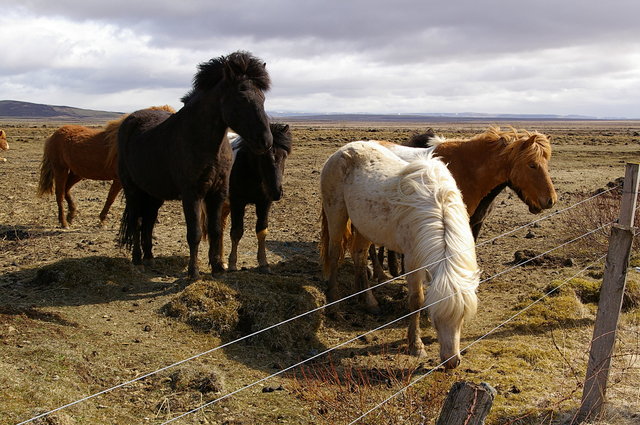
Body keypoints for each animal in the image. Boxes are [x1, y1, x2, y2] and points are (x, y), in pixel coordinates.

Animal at [37, 105, 175, 227]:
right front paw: (102, 220)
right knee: (59, 194)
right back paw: (64, 222)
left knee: (66, 190)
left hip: (77, 173)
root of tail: (53, 136)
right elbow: (111, 199)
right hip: (60, 169)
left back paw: (71, 215)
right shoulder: (120, 180)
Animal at [117, 51, 272, 276]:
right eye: (241, 97)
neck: (204, 142)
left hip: (153, 193)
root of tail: (130, 120)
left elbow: (215, 230)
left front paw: (217, 267)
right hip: (133, 190)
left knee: (148, 222)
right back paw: (137, 259)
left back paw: (149, 258)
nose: (266, 141)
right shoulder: (192, 194)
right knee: (136, 221)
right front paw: (193, 271)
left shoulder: (218, 192)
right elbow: (195, 232)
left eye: (263, 98)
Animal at [320, 141, 480, 366]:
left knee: (359, 255)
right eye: (435, 318)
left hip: (365, 226)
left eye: (463, 317)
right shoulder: (412, 260)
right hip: (336, 214)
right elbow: (416, 300)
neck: (438, 208)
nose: (451, 362)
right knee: (335, 255)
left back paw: (369, 302)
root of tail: (342, 150)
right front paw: (416, 346)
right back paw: (334, 306)